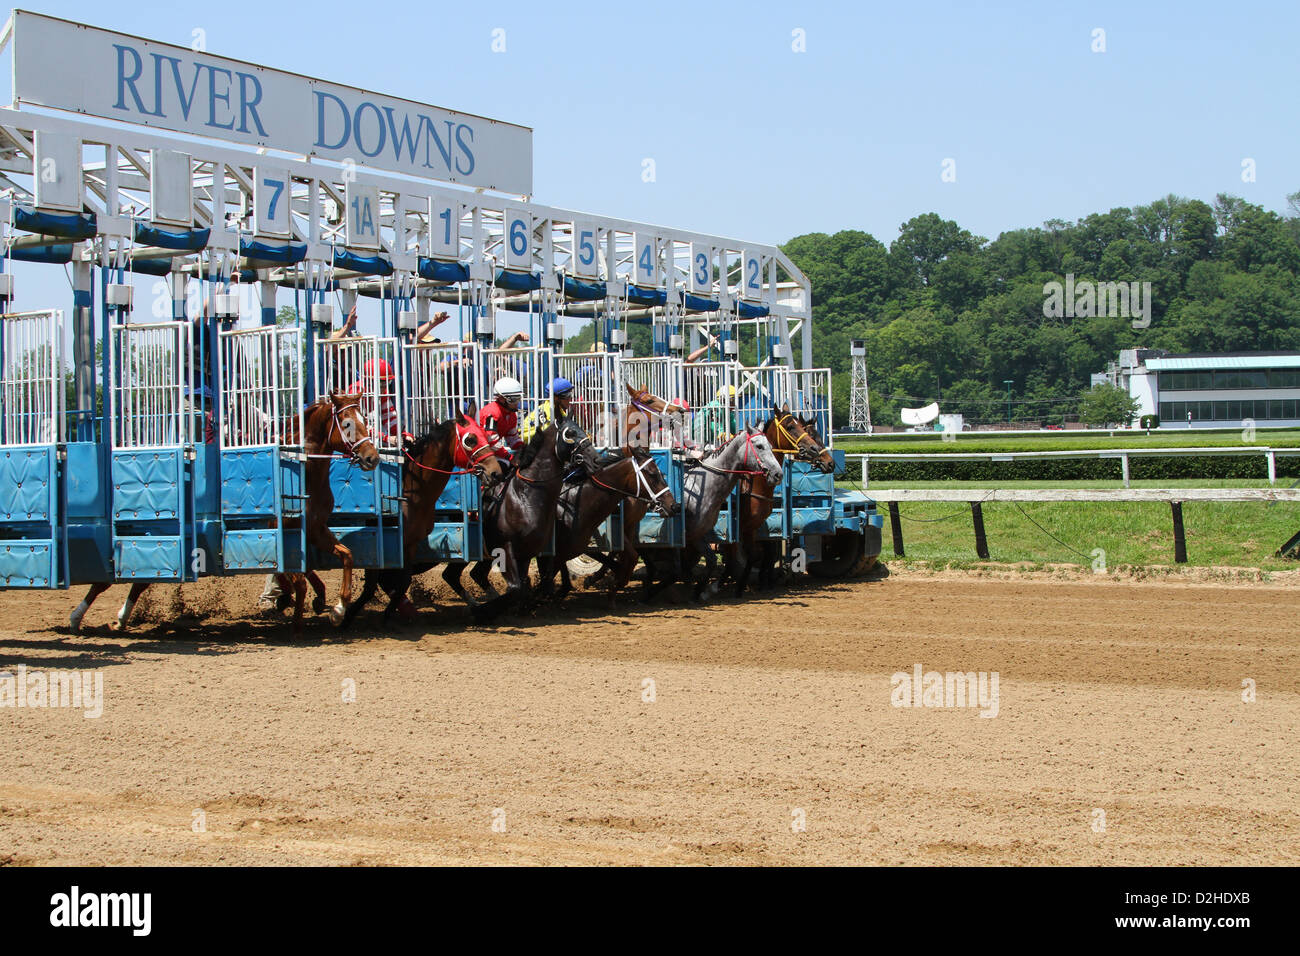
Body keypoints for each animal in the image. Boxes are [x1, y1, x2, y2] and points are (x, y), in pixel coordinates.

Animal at [67, 392, 379, 639]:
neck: (304, 472)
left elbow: (345, 556)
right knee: (121, 573)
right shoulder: (276, 531)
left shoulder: (314, 529)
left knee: (140, 576)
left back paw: (116, 617)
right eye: (347, 423)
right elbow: (294, 577)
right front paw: (298, 619)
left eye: (365, 419)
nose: (372, 457)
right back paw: (79, 616)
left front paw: (337, 608)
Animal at [338, 408, 504, 629]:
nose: (496, 473)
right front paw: (347, 616)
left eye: (486, 435)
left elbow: (403, 583)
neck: (410, 492)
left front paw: (388, 616)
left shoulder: (409, 544)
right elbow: (371, 586)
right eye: (470, 439)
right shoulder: (378, 543)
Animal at [436, 421, 598, 621]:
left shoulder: (526, 552)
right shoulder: (505, 547)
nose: (596, 460)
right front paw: (484, 611)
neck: (525, 495)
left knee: (457, 574)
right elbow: (516, 588)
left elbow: (525, 586)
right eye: (570, 434)